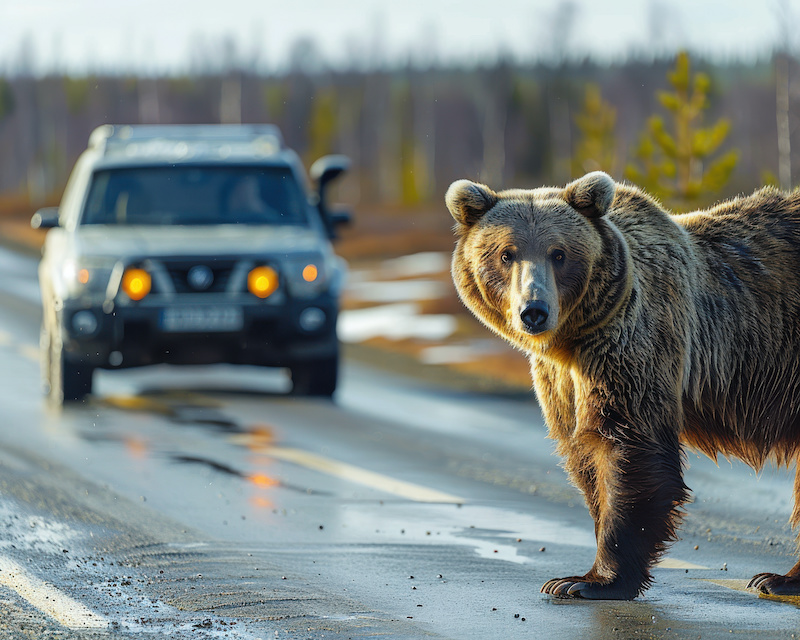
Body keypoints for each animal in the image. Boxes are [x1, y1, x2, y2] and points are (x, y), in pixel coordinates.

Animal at [446, 171, 800, 600]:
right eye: (506, 253)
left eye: (559, 253)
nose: (534, 311)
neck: (570, 339)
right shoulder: (562, 380)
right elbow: (584, 455)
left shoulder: (631, 342)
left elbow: (627, 446)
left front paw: (588, 581)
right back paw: (780, 577)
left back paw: (776, 578)